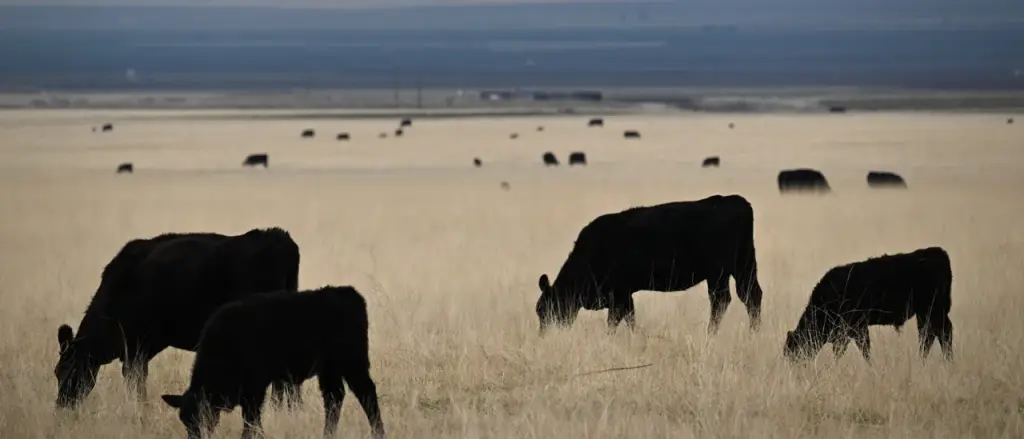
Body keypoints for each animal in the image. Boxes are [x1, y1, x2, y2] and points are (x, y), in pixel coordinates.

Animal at [53, 228, 303, 410]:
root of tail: (279, 238)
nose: (62, 406)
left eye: (66, 370)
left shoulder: (135, 347)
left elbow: (135, 380)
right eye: (57, 372)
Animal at [161, 286, 386, 439]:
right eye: (184, 420)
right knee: (333, 398)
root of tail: (349, 294)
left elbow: (251, 420)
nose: (195, 438)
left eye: (202, 417)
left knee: (366, 393)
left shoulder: (255, 389)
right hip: (330, 370)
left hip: (353, 363)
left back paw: (378, 432)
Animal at [535, 194, 765, 336]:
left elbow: (616, 321)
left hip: (719, 272)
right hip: (742, 266)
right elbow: (630, 319)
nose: (545, 335)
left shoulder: (619, 295)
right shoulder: (624, 296)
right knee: (749, 296)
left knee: (722, 300)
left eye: (548, 310)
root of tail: (735, 201)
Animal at [783, 246, 954, 363]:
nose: (795, 369)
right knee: (930, 335)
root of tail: (938, 253)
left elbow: (861, 350)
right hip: (926, 314)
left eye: (795, 350)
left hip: (932, 311)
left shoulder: (856, 328)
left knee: (939, 334)